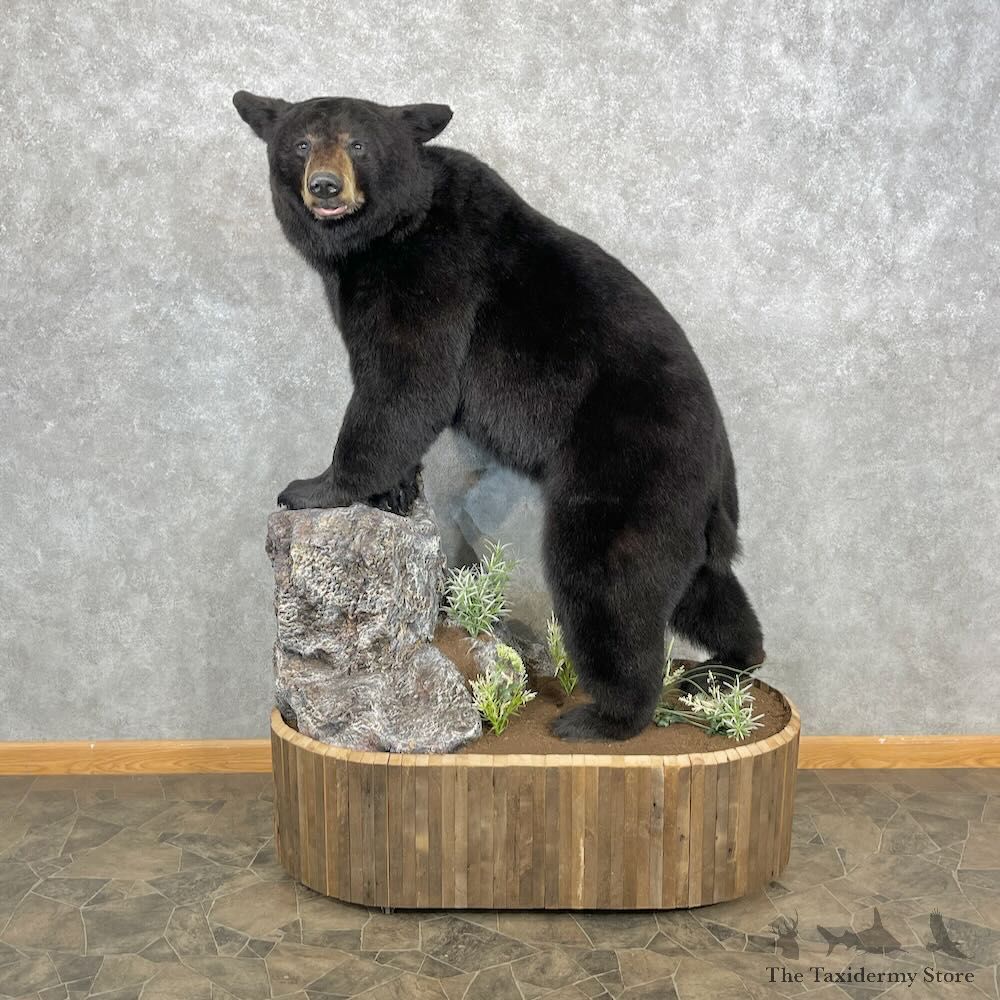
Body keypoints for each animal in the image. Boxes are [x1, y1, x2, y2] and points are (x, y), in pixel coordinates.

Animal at [234, 90, 766, 741]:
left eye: (358, 143)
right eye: (301, 143)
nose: (326, 186)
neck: (381, 237)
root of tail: (716, 458)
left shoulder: (432, 274)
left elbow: (407, 383)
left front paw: (313, 487)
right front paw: (395, 491)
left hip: (633, 463)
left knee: (609, 580)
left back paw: (604, 717)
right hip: (690, 509)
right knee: (701, 585)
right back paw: (729, 661)